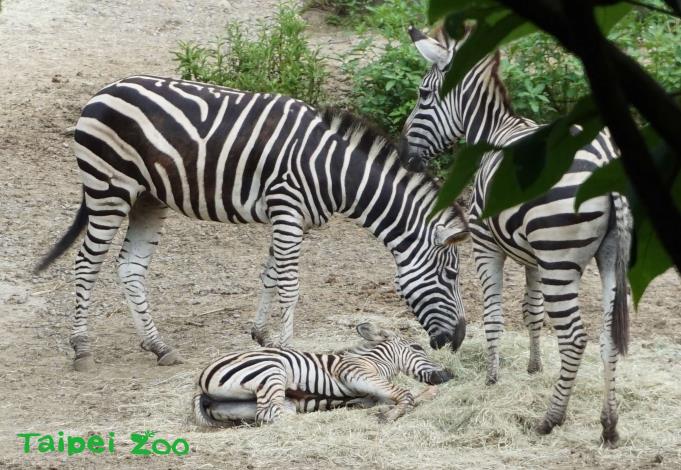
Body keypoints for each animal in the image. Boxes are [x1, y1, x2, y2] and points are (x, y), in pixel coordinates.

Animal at [34, 75, 470, 372]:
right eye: (451, 275)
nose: (460, 340)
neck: (333, 171)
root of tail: (105, 90)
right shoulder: (287, 208)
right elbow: (290, 285)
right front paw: (291, 349)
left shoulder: (291, 217)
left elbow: (270, 274)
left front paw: (262, 334)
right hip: (108, 188)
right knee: (87, 264)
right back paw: (81, 347)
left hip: (147, 198)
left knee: (130, 268)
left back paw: (159, 346)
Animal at [194, 324, 454, 426]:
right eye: (418, 348)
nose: (448, 374)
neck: (375, 361)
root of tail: (200, 382)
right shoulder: (354, 373)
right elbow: (406, 394)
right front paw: (388, 416)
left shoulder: (373, 393)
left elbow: (411, 395)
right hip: (272, 371)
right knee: (270, 413)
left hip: (235, 405)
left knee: (270, 414)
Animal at [404, 27, 632, 446]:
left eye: (423, 94)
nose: (404, 153)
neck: (492, 132)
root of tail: (604, 162)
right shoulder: (531, 257)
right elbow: (532, 312)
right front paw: (533, 367)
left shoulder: (485, 244)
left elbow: (494, 315)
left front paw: (492, 379)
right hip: (610, 257)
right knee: (608, 335)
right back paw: (609, 425)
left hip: (560, 259)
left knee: (575, 337)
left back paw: (551, 419)